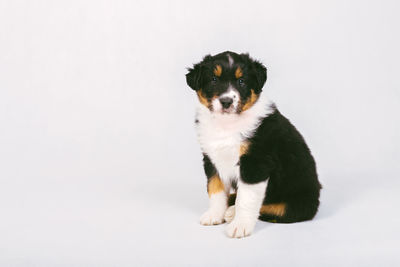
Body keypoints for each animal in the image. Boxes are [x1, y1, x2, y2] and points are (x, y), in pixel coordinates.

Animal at [186, 51, 320, 239]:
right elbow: (215, 189)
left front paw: (240, 226)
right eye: (213, 79)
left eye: (241, 81)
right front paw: (214, 215)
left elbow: (246, 199)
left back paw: (232, 213)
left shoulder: (255, 162)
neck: (227, 125)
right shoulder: (212, 158)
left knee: (272, 207)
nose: (226, 101)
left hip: (296, 203)